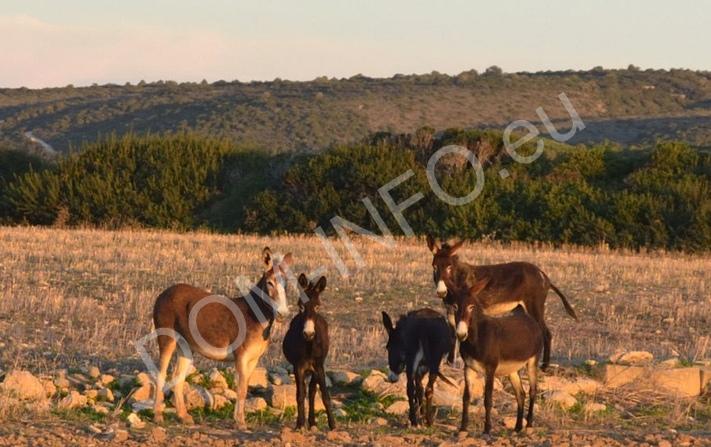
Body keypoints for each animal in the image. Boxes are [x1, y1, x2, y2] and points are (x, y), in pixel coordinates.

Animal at [284, 272, 336, 430]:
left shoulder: (319, 366)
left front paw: (333, 425)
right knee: (304, 391)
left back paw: (312, 422)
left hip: (315, 369)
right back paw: (305, 422)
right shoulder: (298, 366)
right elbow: (300, 395)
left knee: (312, 391)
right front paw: (300, 425)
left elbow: (325, 395)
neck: (309, 346)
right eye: (301, 306)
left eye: (317, 307)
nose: (308, 334)